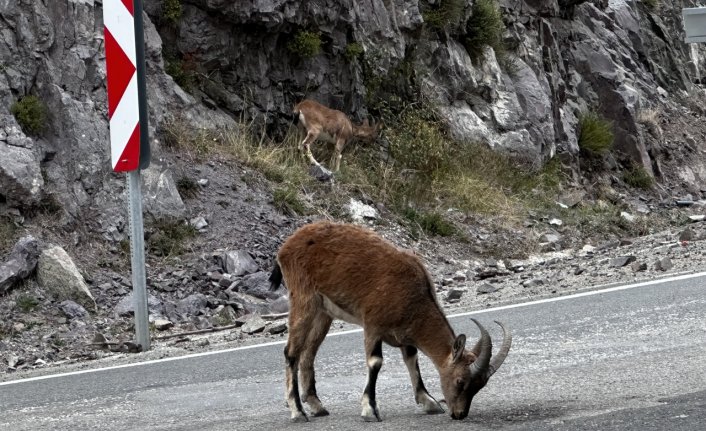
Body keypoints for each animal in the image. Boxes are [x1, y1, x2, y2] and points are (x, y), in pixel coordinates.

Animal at [270, 221, 512, 424]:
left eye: (480, 385)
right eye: (460, 381)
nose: (459, 414)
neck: (412, 296)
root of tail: (286, 247)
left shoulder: (405, 333)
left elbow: (412, 359)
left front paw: (429, 401)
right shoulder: (372, 325)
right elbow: (375, 362)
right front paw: (370, 410)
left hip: (324, 312)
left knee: (308, 354)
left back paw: (317, 406)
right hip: (303, 298)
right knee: (291, 352)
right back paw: (298, 411)